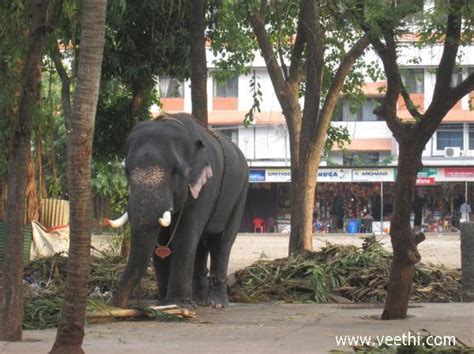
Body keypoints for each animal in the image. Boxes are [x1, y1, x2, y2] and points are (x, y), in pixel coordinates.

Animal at [108, 112, 248, 308]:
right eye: (126, 171)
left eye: (176, 170)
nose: (116, 304)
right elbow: (160, 239)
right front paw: (163, 302)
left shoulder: (204, 187)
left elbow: (185, 235)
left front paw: (178, 304)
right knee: (201, 245)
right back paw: (199, 300)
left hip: (240, 193)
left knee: (222, 242)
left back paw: (217, 304)